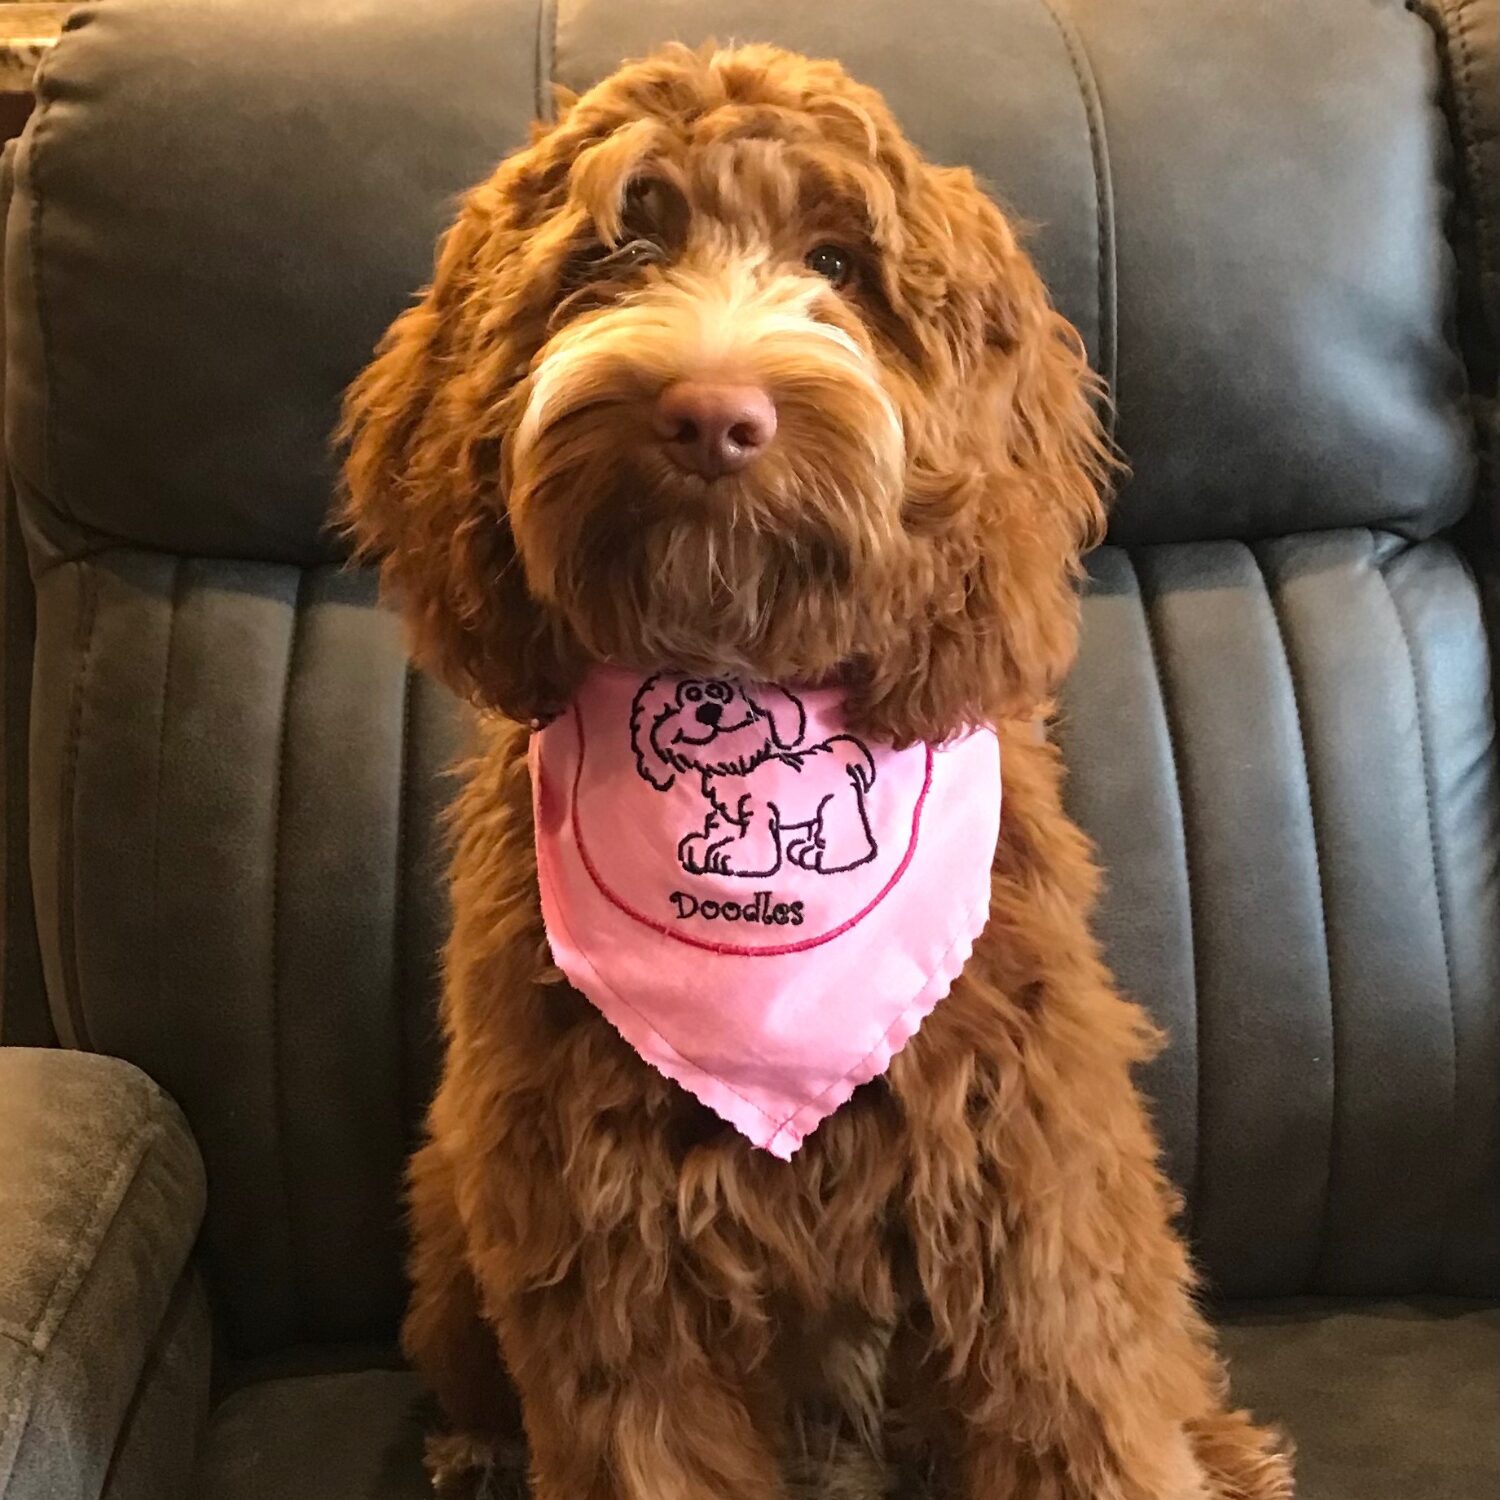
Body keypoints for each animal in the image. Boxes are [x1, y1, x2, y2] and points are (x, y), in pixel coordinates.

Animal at [630, 674, 877, 877]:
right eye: (691, 695)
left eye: (717, 691)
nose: (709, 711)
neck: (735, 766)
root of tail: (839, 748)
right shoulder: (728, 812)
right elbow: (722, 828)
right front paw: (703, 847)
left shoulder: (758, 809)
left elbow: (754, 841)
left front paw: (728, 856)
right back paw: (808, 850)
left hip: (835, 804)